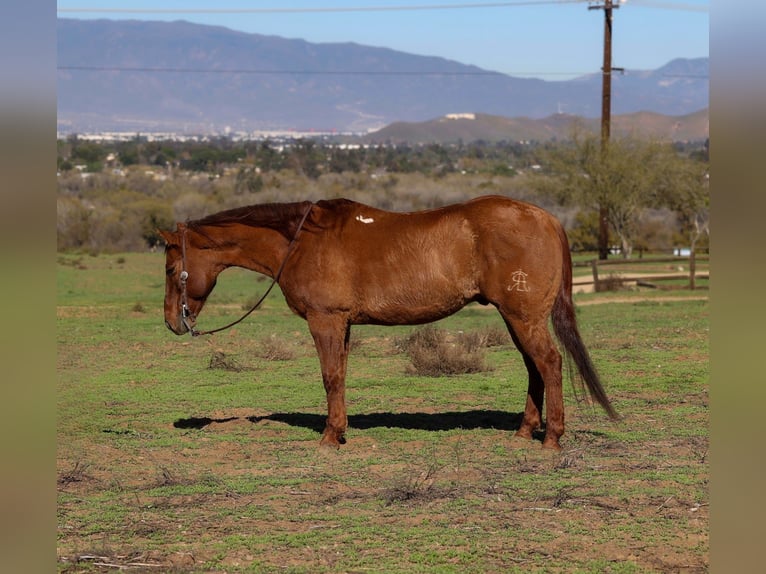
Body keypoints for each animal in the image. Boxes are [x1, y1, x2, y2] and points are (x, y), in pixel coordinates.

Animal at [159, 195, 617, 450]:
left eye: (170, 268)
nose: (172, 322)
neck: (303, 241)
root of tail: (546, 219)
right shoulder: (342, 325)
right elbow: (340, 376)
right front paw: (340, 430)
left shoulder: (325, 322)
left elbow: (330, 377)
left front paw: (330, 437)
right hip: (515, 318)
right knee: (535, 368)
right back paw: (525, 432)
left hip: (524, 318)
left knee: (550, 364)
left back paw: (552, 438)